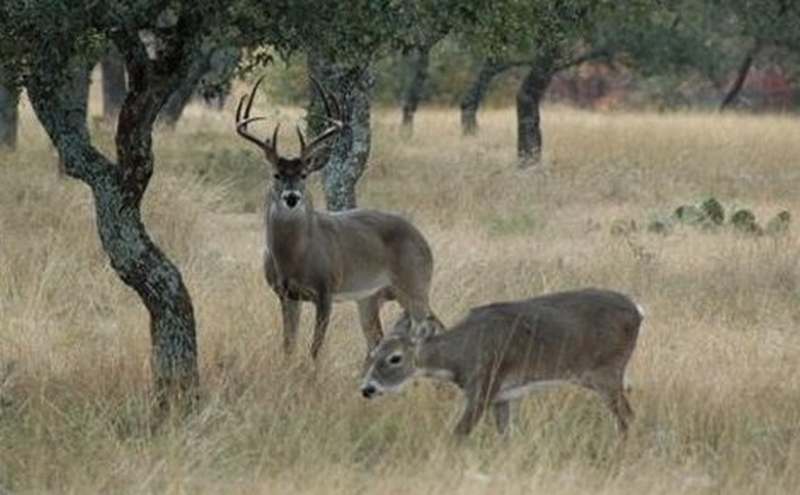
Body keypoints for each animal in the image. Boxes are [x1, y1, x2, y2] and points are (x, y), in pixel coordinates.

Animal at [234, 76, 440, 360]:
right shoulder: (286, 294)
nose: (291, 197)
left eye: (304, 174)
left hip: (416, 284)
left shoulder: (326, 290)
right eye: (276, 174)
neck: (295, 257)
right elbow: (288, 345)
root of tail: (422, 238)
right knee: (376, 340)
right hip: (370, 298)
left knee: (432, 327)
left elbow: (315, 348)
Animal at [362, 290, 644, 438]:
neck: (461, 354)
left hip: (607, 371)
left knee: (627, 417)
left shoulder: (483, 386)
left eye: (395, 357)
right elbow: (506, 436)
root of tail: (638, 311)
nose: (367, 389)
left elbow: (458, 434)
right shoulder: (503, 396)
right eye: (373, 353)